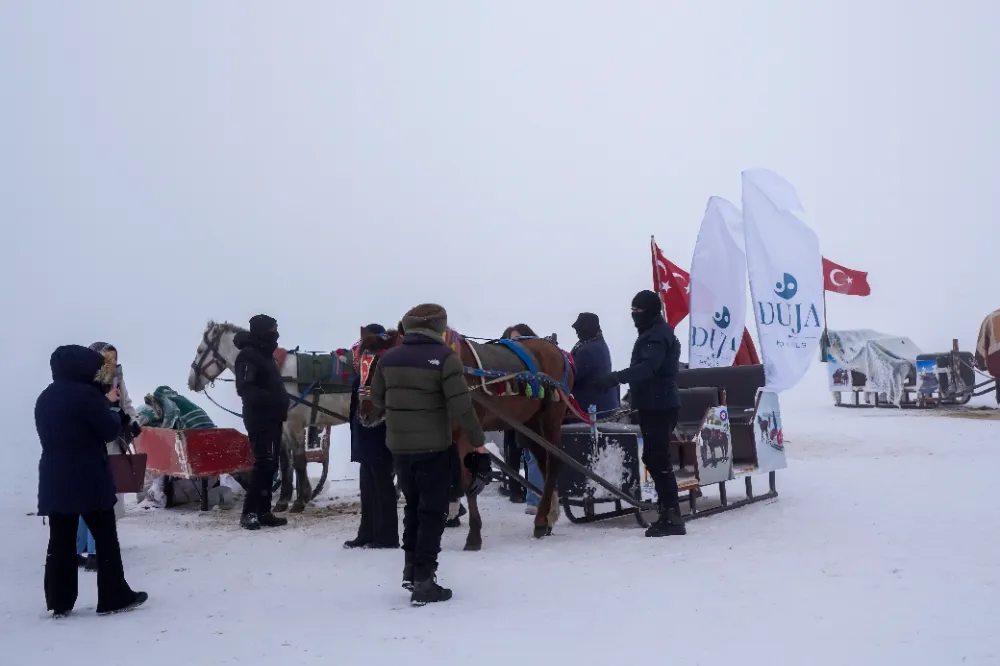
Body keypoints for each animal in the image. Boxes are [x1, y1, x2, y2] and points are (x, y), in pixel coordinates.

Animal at [186, 320, 354, 510]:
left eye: (200, 350)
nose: (191, 381)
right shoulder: (282, 427)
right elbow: (285, 462)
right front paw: (283, 500)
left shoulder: (294, 425)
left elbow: (299, 460)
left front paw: (301, 500)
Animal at [358, 324, 580, 548]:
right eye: (358, 365)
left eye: (380, 365)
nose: (364, 413)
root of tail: (557, 351)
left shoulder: (466, 432)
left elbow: (465, 480)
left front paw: (473, 535)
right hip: (530, 423)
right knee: (544, 460)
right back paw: (549, 514)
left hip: (551, 416)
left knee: (554, 461)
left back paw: (542, 519)